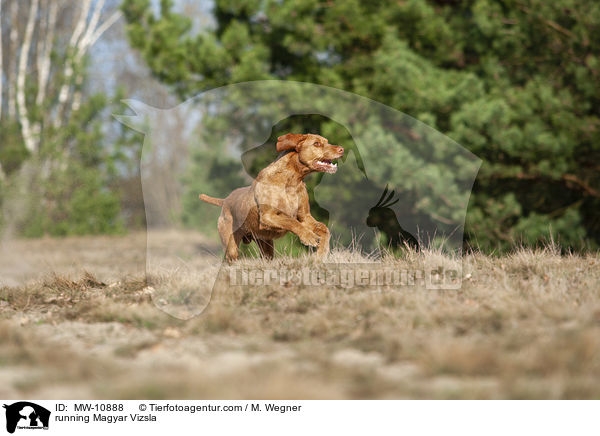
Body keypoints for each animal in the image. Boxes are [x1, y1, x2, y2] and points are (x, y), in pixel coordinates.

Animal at [199, 133, 344, 262]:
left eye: (327, 141)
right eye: (317, 143)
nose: (341, 149)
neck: (292, 181)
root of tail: (225, 200)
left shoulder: (305, 216)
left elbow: (324, 229)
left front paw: (321, 253)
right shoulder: (268, 216)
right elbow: (291, 221)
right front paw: (309, 237)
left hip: (265, 246)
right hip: (231, 246)